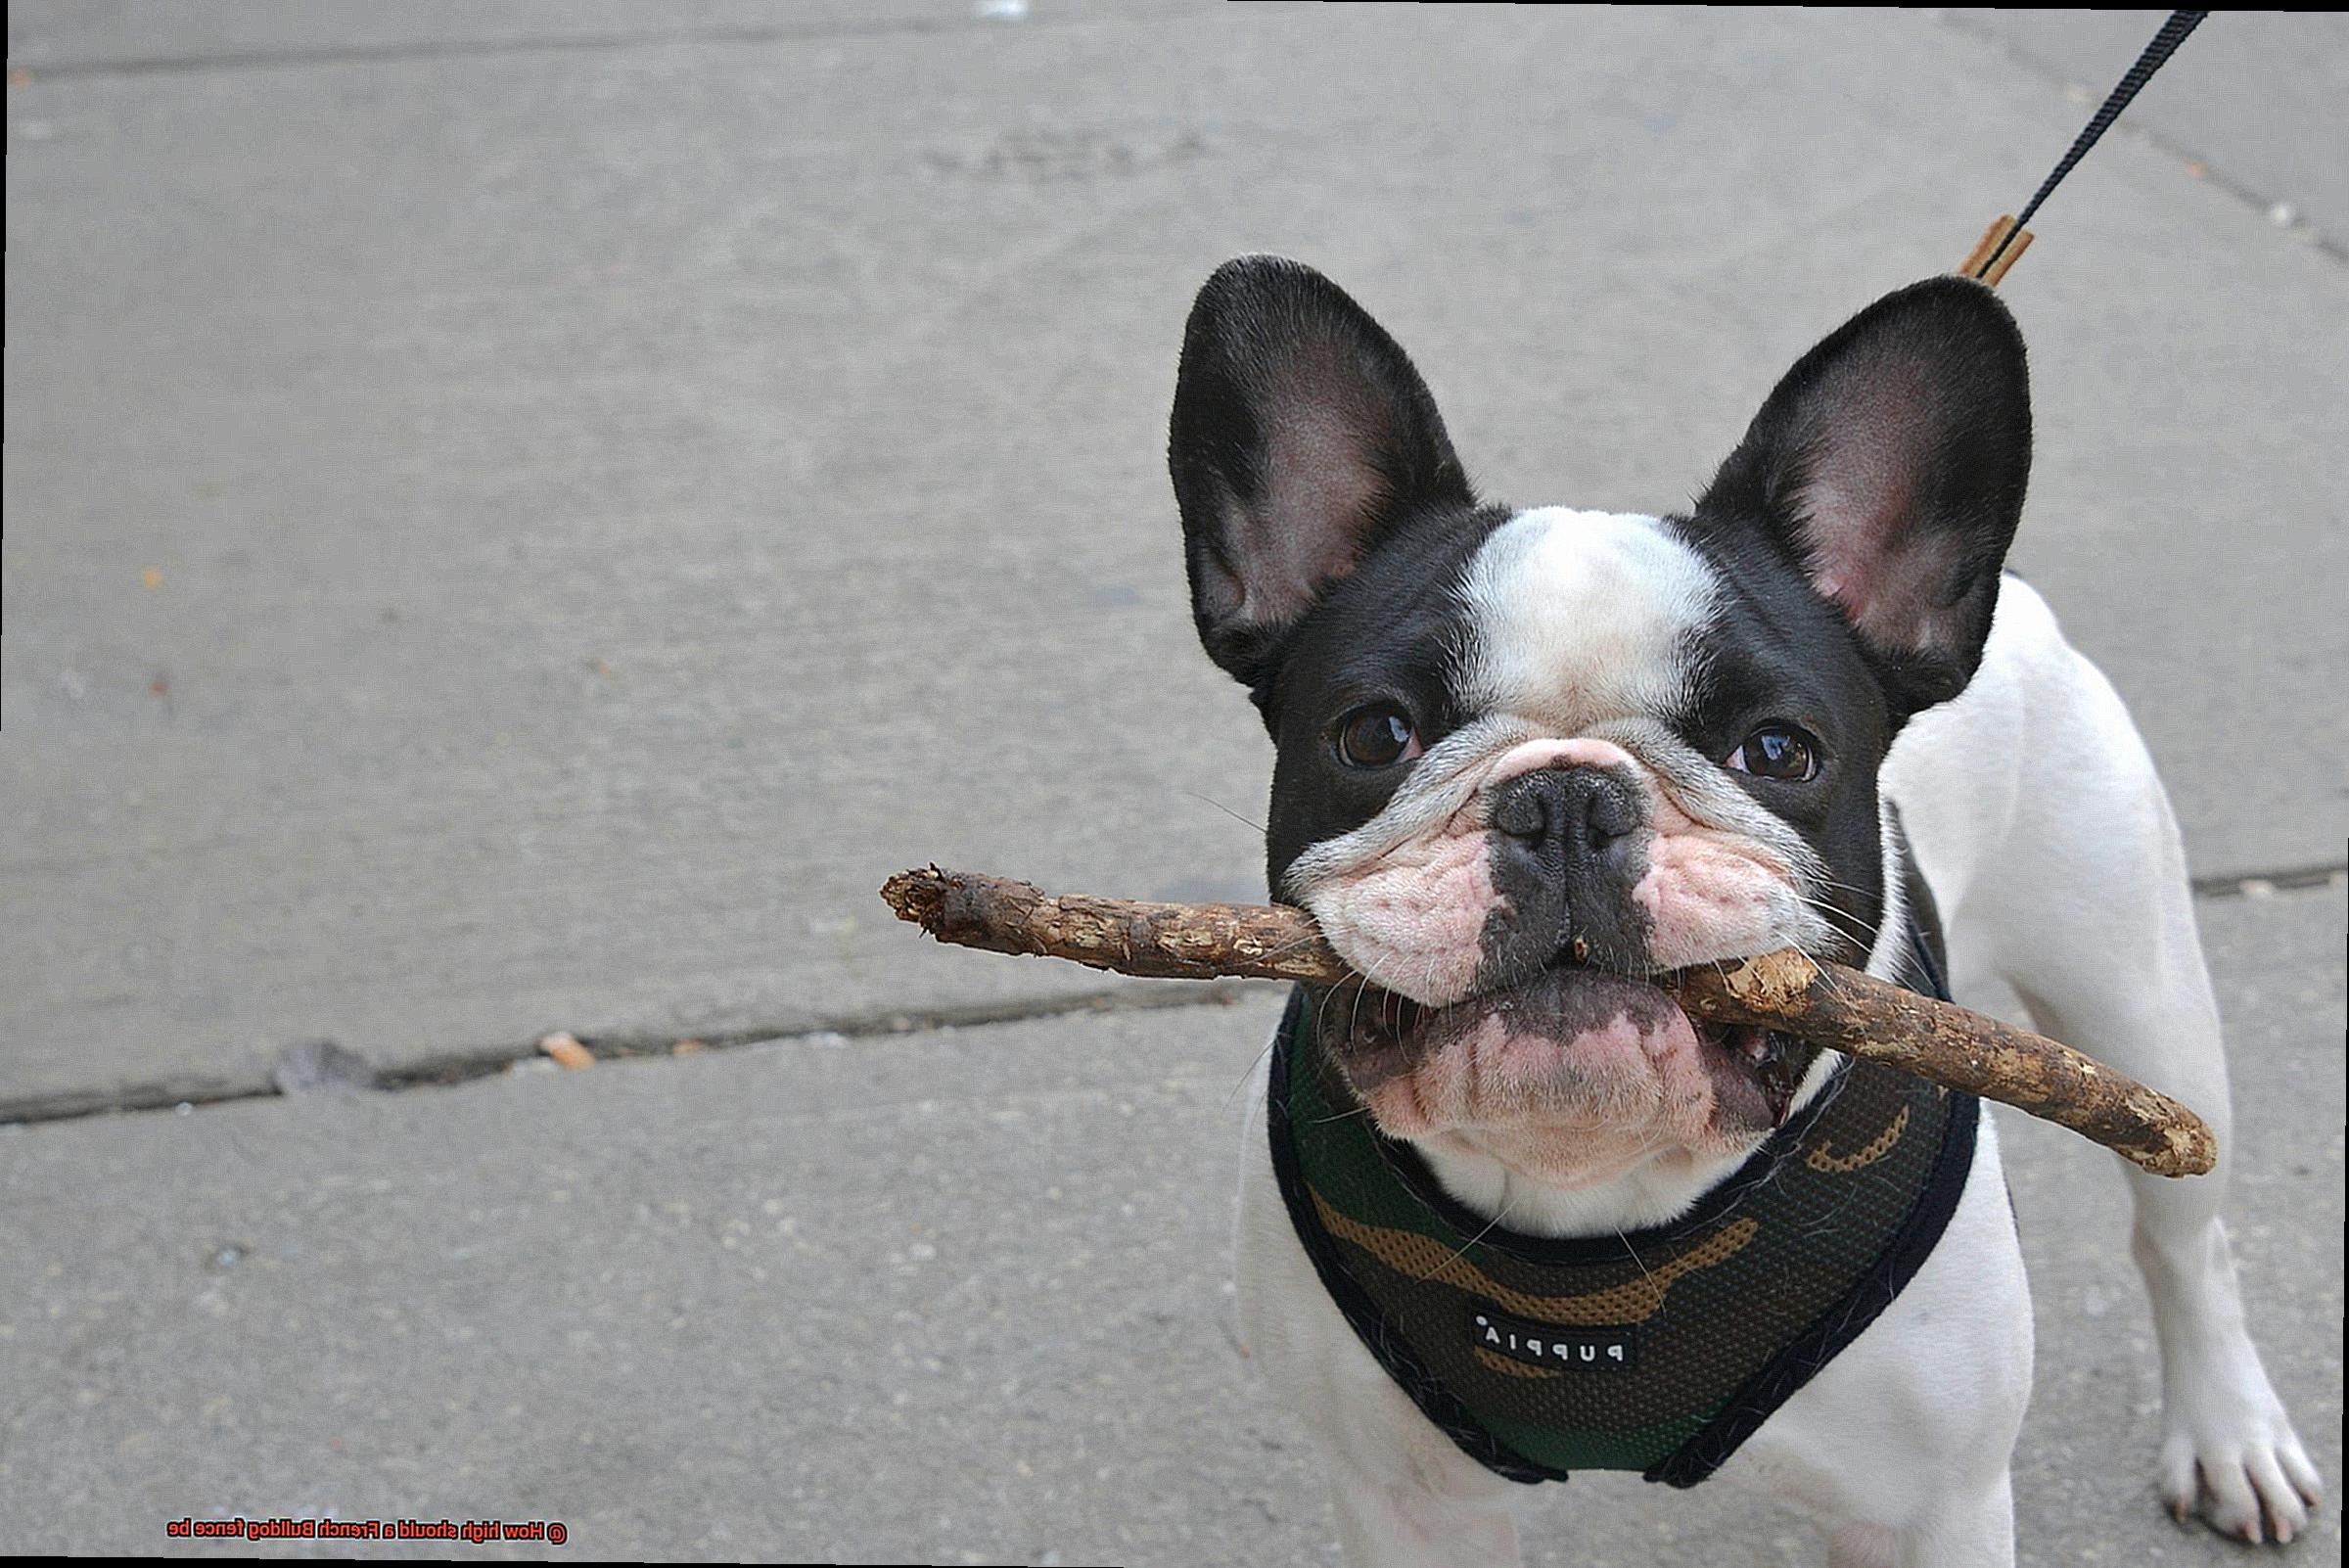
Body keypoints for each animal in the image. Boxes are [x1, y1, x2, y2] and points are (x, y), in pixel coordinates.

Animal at [1165, 260, 2321, 1568]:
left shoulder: (1938, 1507)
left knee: (2185, 1238)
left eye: (1779, 751)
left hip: (2142, 1008)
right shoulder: (1406, 1503)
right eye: (1374, 735)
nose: (1568, 800)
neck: (1589, 1197)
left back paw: (2230, 1435)